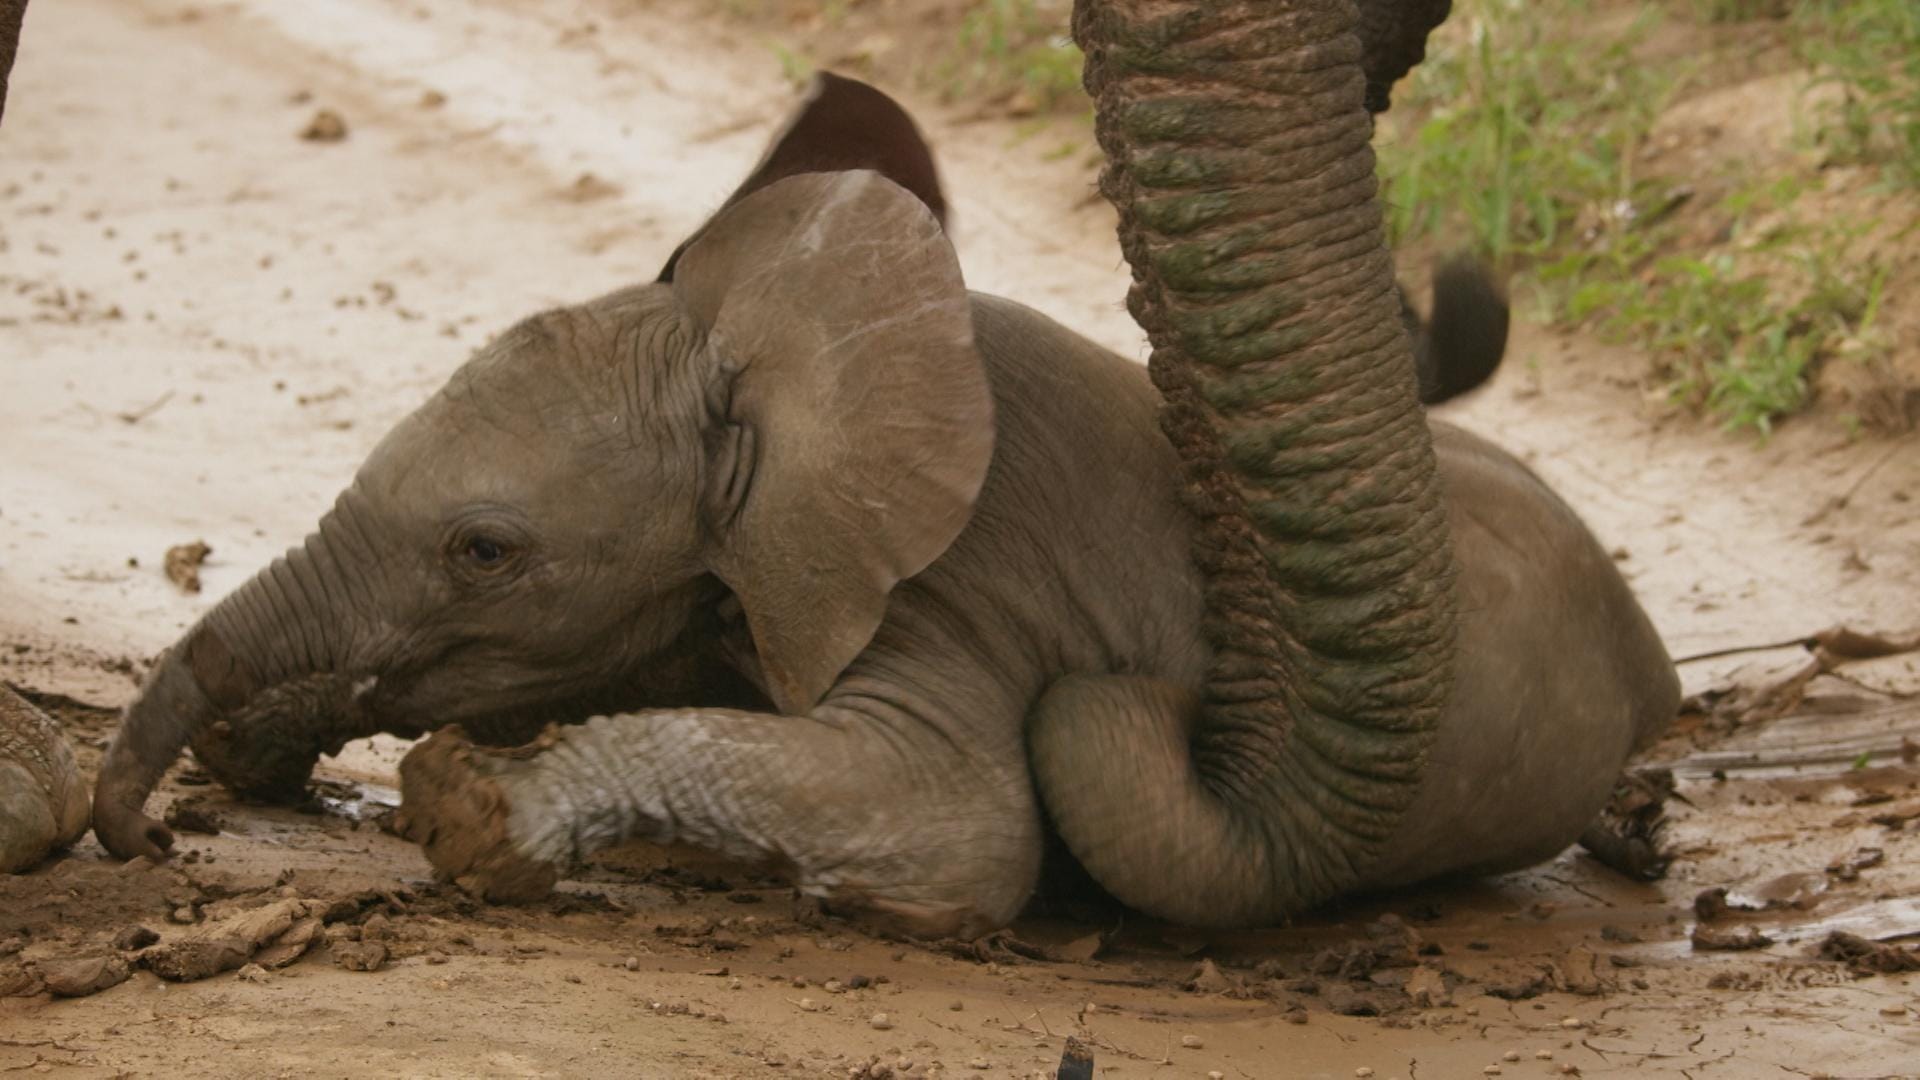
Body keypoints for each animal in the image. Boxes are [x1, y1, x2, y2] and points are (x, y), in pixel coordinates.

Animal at [90, 5, 1678, 935]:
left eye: (484, 550)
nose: (134, 846)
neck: (770, 353)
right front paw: (268, 737)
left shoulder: (950, 585)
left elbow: (958, 828)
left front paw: (471, 811)